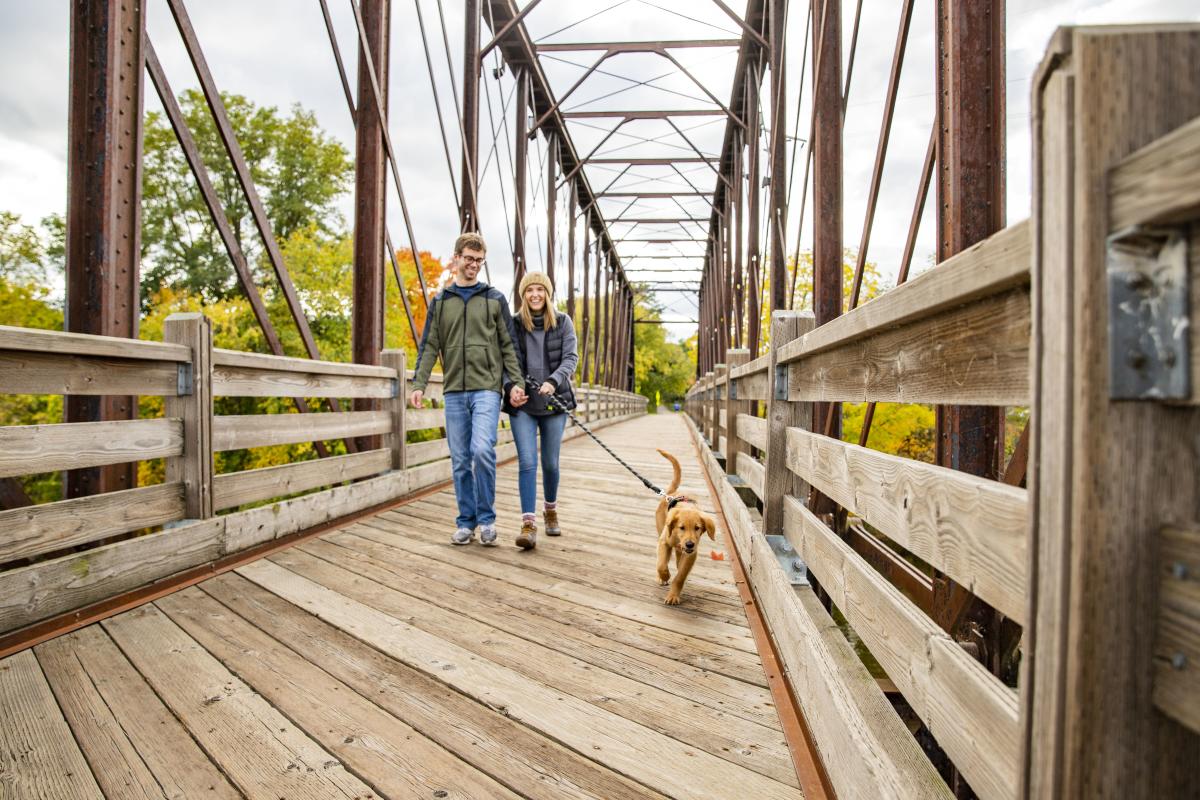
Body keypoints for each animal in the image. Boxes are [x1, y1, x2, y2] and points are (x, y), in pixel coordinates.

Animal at [657, 450, 710, 606]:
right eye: (681, 527)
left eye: (697, 528)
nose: (690, 544)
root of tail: (670, 494)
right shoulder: (664, 542)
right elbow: (661, 565)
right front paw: (664, 576)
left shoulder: (691, 554)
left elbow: (680, 575)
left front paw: (673, 595)